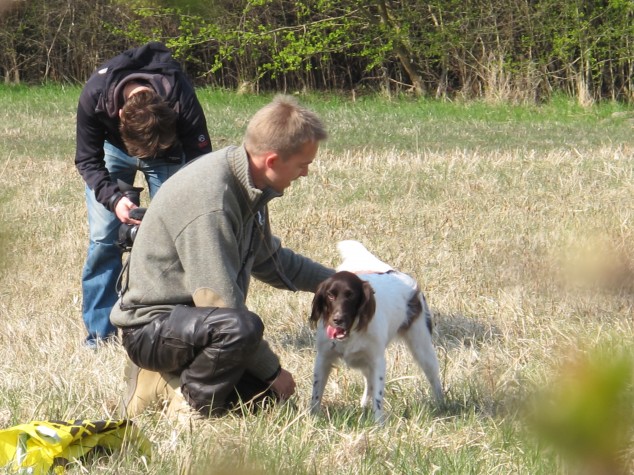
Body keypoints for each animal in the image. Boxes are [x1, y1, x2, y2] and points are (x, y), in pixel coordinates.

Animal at [308, 240, 442, 422]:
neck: (351, 332)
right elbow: (316, 393)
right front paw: (312, 417)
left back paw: (442, 404)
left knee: (434, 377)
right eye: (330, 295)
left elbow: (378, 396)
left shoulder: (377, 360)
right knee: (368, 382)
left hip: (422, 347)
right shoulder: (323, 358)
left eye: (351, 295)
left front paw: (378, 423)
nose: (338, 319)